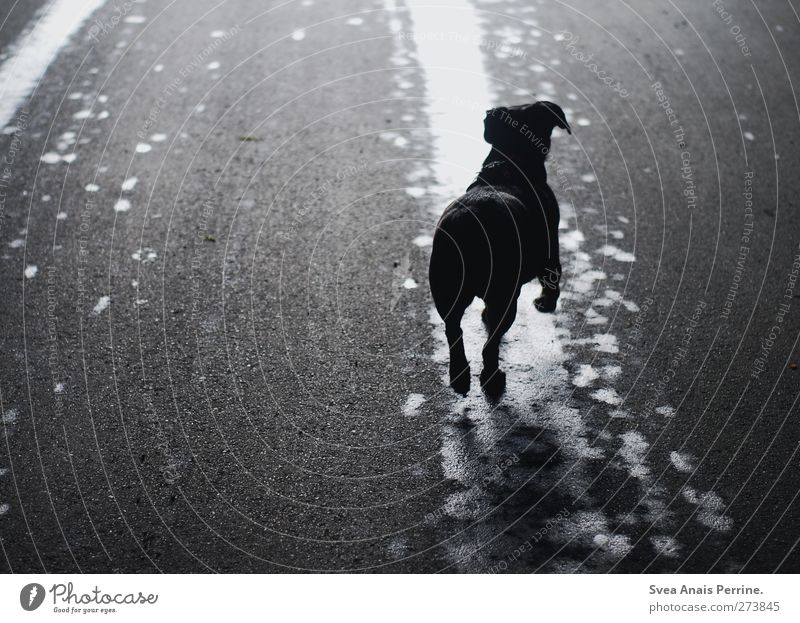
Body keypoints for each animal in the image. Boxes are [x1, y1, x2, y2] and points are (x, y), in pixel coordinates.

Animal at [428, 101, 572, 394]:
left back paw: (459, 375)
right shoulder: (551, 251)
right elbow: (552, 278)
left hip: (447, 289)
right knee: (490, 343)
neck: (510, 162)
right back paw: (492, 377)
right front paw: (546, 302)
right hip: (504, 297)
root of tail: (471, 221)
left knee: (454, 331)